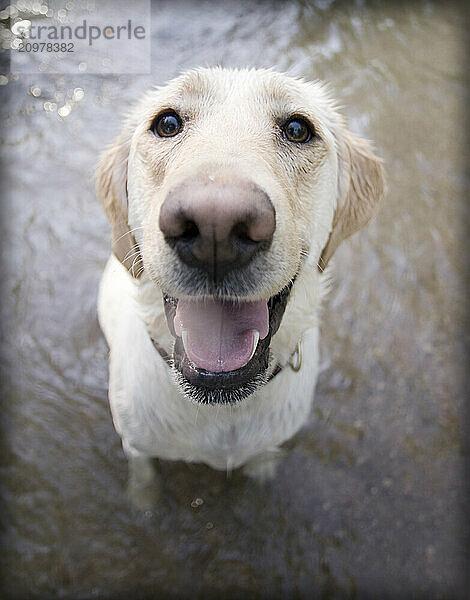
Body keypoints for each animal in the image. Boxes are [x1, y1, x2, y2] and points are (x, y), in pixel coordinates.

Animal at [95, 67, 386, 506]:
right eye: (167, 123)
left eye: (298, 129)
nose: (216, 225)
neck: (222, 408)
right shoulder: (136, 443)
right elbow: (143, 474)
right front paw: (143, 502)